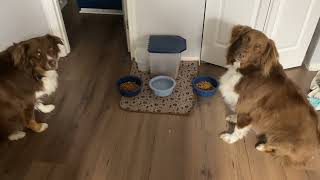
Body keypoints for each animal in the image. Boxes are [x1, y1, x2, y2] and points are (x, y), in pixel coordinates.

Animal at [219, 25, 320, 166]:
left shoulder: (248, 111)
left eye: (258, 47)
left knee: (277, 149)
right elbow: (238, 117)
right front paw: (234, 118)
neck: (247, 71)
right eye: (245, 38)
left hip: (279, 137)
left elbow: (239, 129)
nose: (240, 54)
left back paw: (262, 146)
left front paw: (229, 138)